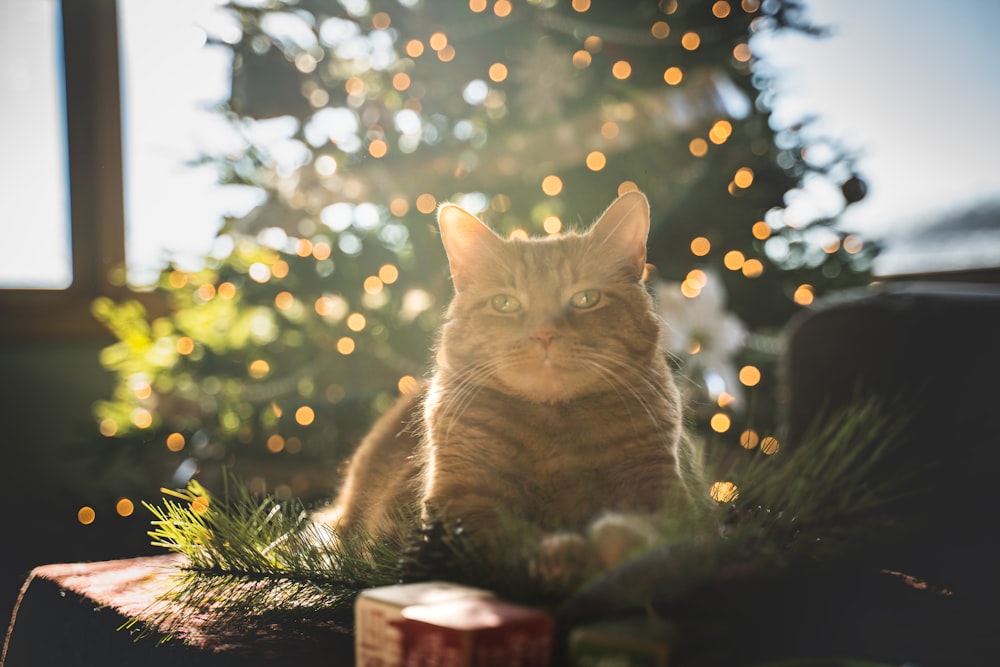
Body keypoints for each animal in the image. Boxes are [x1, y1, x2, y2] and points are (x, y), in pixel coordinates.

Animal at [316, 192, 700, 576]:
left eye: (586, 298)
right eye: (505, 303)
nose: (544, 333)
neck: (556, 431)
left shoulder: (668, 491)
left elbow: (661, 532)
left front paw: (613, 540)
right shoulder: (461, 507)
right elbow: (507, 541)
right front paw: (562, 555)